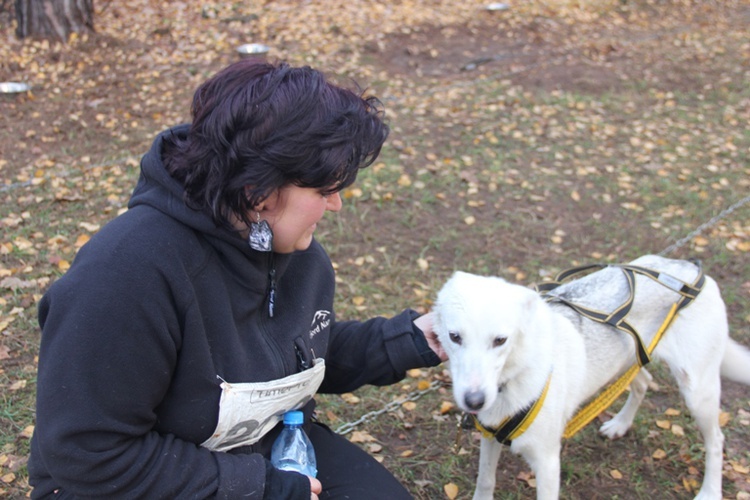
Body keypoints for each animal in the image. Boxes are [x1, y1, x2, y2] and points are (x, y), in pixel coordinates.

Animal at [434, 256, 750, 498]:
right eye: (454, 337)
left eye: (500, 340)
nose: (474, 401)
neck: (512, 379)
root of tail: (689, 268)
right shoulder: (490, 438)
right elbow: (485, 481)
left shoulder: (548, 463)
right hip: (628, 362)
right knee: (644, 382)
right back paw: (620, 425)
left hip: (697, 391)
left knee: (716, 441)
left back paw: (710, 491)